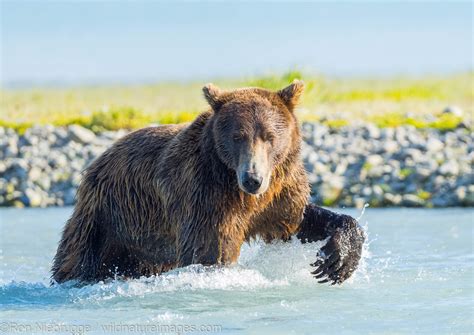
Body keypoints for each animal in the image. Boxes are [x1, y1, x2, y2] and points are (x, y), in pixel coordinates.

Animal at [51, 81, 362, 286]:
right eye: (237, 136)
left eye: (270, 136)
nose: (252, 178)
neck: (237, 190)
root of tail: (99, 158)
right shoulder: (205, 196)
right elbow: (210, 252)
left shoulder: (278, 193)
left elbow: (297, 220)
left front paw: (337, 260)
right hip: (106, 216)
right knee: (77, 258)